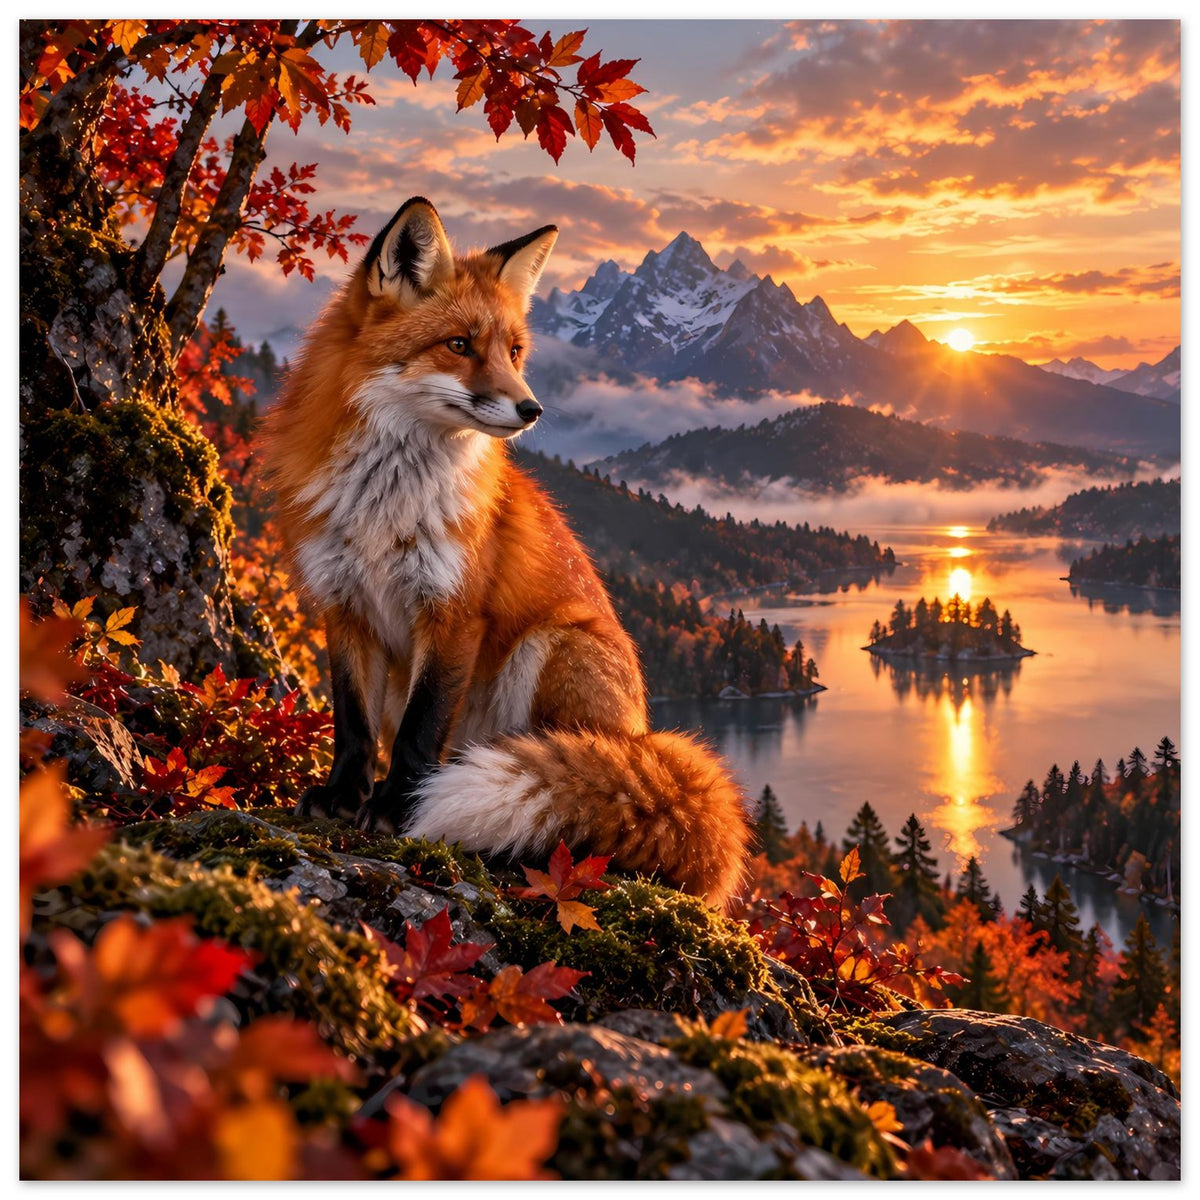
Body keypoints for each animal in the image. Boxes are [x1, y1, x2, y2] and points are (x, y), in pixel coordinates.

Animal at [263, 196, 750, 908]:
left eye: (515, 351)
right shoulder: (344, 603)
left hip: (551, 646)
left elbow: (419, 732)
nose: (532, 408)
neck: (385, 506)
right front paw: (342, 798)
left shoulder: (454, 611)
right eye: (460, 345)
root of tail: (642, 735)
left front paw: (397, 811)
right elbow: (352, 725)